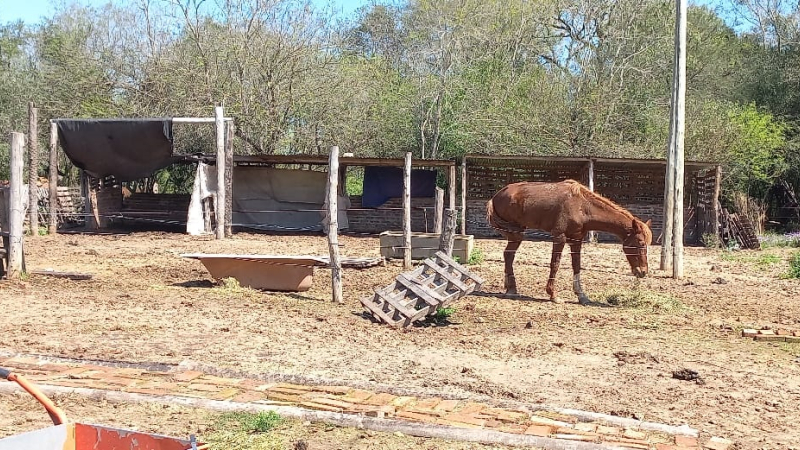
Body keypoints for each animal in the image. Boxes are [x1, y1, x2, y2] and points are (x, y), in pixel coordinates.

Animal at [486, 179, 652, 305]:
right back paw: (511, 290)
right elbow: (555, 264)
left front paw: (582, 296)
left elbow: (576, 265)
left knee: (508, 255)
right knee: (509, 255)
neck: (582, 206)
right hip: (517, 234)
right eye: (640, 242)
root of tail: (495, 197)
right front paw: (553, 295)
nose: (643, 272)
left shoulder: (576, 239)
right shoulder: (560, 237)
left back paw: (510, 288)